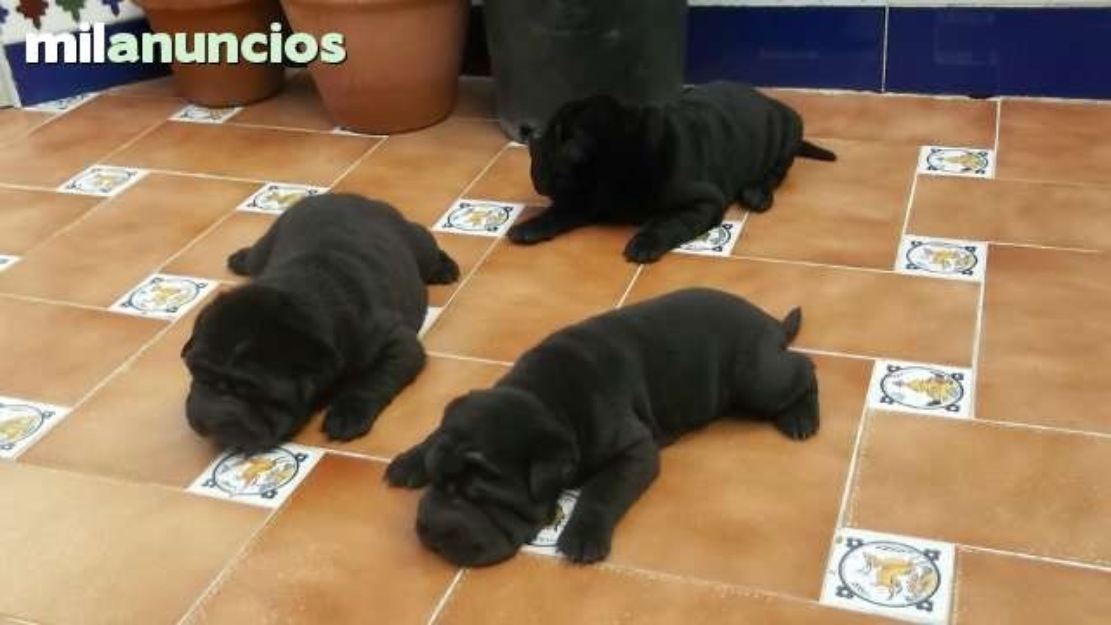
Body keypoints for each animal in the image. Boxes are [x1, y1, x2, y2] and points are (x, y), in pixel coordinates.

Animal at [182, 193, 459, 452]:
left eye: (249, 390)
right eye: (197, 375)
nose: (209, 419)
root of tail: (342, 195)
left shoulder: (398, 344)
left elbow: (374, 379)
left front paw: (348, 413)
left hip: (417, 245)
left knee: (427, 248)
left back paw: (444, 268)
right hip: (267, 244)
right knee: (254, 256)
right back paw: (240, 257)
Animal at [386, 286, 822, 568]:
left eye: (478, 496)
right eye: (436, 481)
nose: (427, 527)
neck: (546, 400)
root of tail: (769, 320)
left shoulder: (634, 450)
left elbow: (602, 491)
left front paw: (582, 535)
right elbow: (437, 436)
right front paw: (411, 458)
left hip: (757, 378)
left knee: (804, 368)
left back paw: (802, 417)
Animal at [508, 80, 835, 261]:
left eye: (551, 137)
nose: (530, 136)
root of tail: (768, 99)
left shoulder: (704, 201)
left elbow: (668, 222)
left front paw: (644, 242)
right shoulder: (588, 198)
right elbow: (560, 211)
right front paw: (531, 225)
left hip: (789, 129)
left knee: (778, 170)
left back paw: (757, 193)